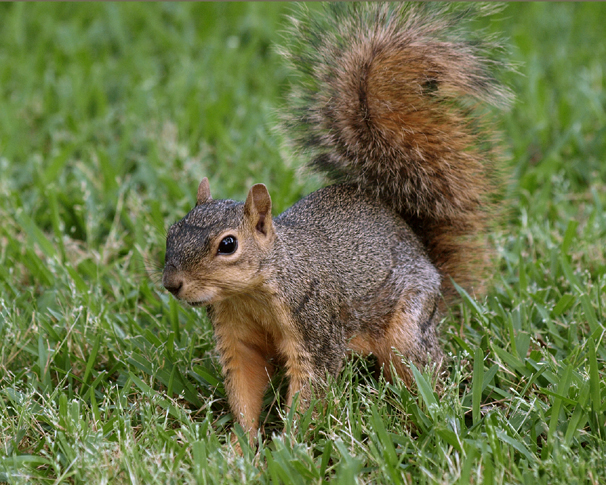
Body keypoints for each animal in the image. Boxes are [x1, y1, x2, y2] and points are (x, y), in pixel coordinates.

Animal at [163, 2, 512, 434]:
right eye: (172, 231)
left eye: (228, 244)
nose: (171, 284)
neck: (252, 292)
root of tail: (426, 258)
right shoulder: (236, 333)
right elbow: (245, 384)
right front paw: (240, 444)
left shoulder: (315, 326)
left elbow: (310, 385)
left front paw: (289, 442)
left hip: (408, 322)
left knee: (421, 366)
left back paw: (419, 413)